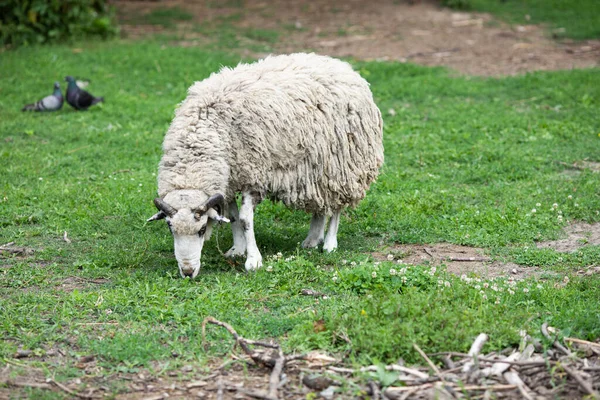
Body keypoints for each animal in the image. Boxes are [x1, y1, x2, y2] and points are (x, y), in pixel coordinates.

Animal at [147, 53, 382, 278]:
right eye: (171, 229)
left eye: (202, 229)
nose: (187, 273)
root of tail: (343, 66)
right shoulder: (230, 177)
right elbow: (233, 216)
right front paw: (237, 250)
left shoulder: (254, 175)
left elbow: (244, 219)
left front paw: (253, 260)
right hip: (315, 167)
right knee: (320, 203)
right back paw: (313, 239)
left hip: (343, 163)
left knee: (337, 205)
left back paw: (330, 243)